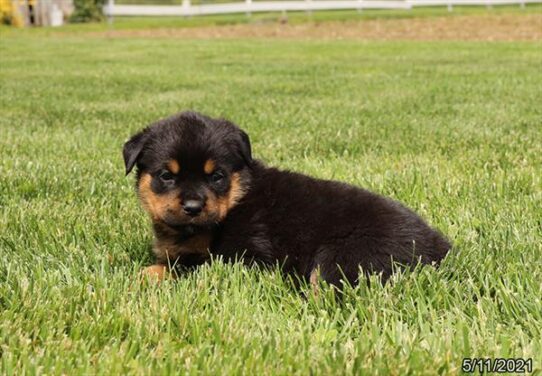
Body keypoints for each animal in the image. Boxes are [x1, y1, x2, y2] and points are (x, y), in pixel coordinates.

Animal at [125, 110, 452, 286]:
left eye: (217, 176)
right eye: (166, 176)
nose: (193, 207)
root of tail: (442, 248)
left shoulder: (249, 258)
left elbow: (189, 267)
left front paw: (144, 274)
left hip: (343, 257)